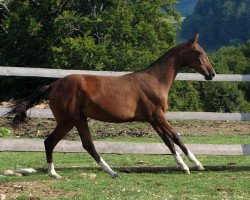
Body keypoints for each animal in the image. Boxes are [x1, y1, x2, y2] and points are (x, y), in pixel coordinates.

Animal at [7, 33, 215, 179]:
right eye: (199, 52)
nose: (211, 74)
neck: (155, 81)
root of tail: (54, 85)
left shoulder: (152, 119)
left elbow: (168, 141)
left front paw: (183, 166)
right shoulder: (158, 116)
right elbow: (176, 137)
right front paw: (196, 165)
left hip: (79, 119)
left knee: (87, 145)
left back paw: (109, 172)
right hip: (67, 121)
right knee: (51, 142)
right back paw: (55, 173)